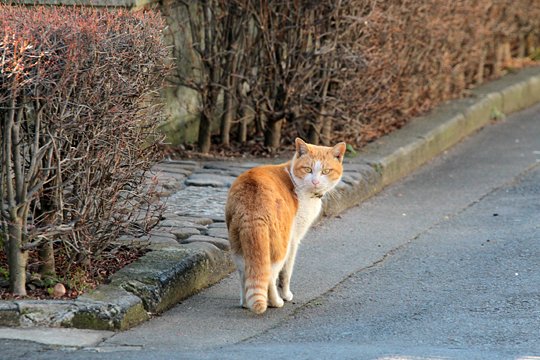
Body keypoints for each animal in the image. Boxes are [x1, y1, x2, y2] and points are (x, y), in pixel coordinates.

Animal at [225, 136, 346, 314]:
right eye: (308, 169)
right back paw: (276, 302)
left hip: (238, 247)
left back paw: (245, 303)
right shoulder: (294, 239)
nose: (315, 181)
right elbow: (286, 273)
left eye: (326, 171)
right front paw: (286, 294)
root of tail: (252, 200)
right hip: (280, 245)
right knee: (269, 276)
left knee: (245, 274)